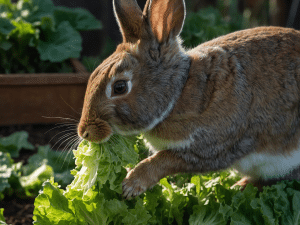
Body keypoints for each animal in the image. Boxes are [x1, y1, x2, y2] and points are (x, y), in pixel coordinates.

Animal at [77, 0, 300, 199]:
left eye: (120, 87)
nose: (84, 132)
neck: (177, 93)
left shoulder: (211, 149)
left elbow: (164, 160)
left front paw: (131, 184)